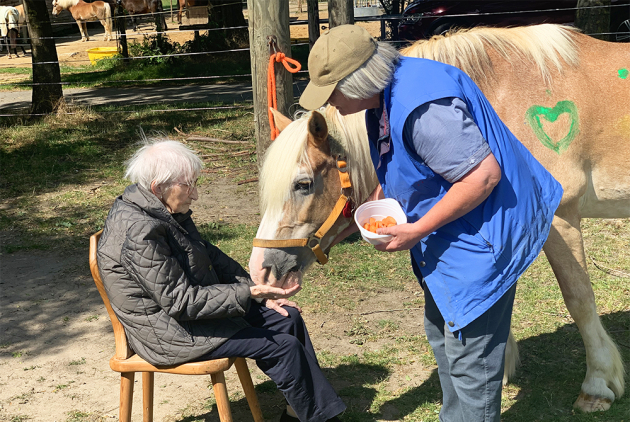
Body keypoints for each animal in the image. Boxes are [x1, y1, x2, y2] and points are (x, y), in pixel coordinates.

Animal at [249, 23, 628, 412]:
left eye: (303, 184)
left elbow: (579, 299)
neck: (498, 95)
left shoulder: (560, 218)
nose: (260, 269)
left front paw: (597, 384)